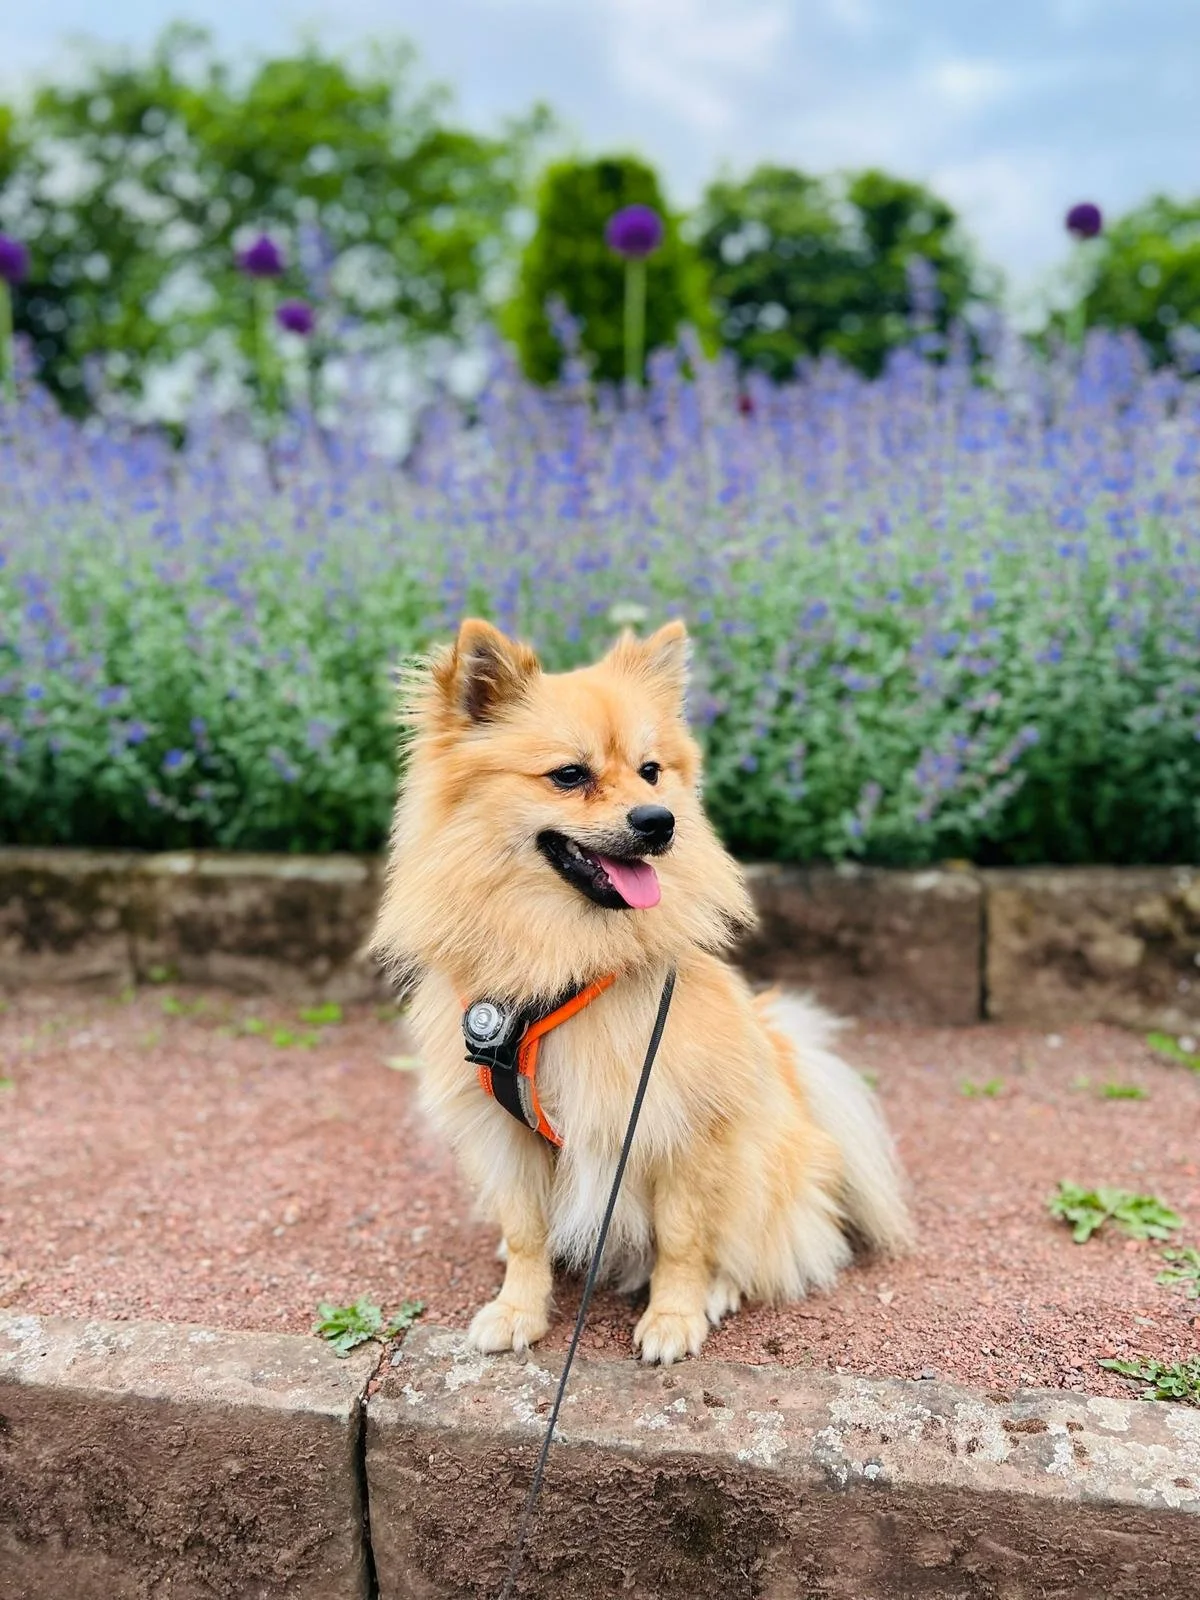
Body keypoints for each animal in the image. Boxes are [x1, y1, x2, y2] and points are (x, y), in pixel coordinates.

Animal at [372, 618, 912, 1365]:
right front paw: (518, 1308)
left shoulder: (681, 1125)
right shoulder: (503, 1135)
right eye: (570, 775)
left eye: (651, 770)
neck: (566, 963)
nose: (660, 820)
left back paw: (718, 1290)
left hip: (759, 1159)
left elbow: (684, 1239)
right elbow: (525, 1232)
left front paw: (674, 1317)